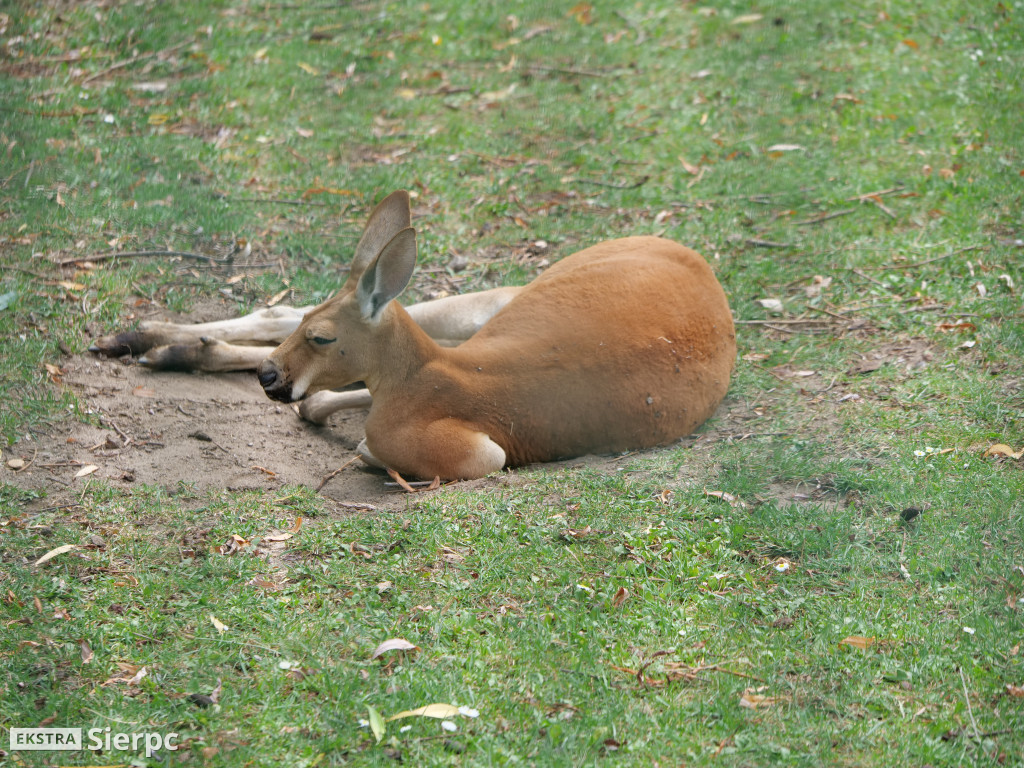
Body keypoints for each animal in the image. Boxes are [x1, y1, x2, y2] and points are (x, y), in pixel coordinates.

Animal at [256, 191, 737, 481]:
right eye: (308, 327)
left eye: (320, 339)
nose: (267, 374)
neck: (421, 376)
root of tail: (700, 262)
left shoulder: (479, 451)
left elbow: (486, 457)